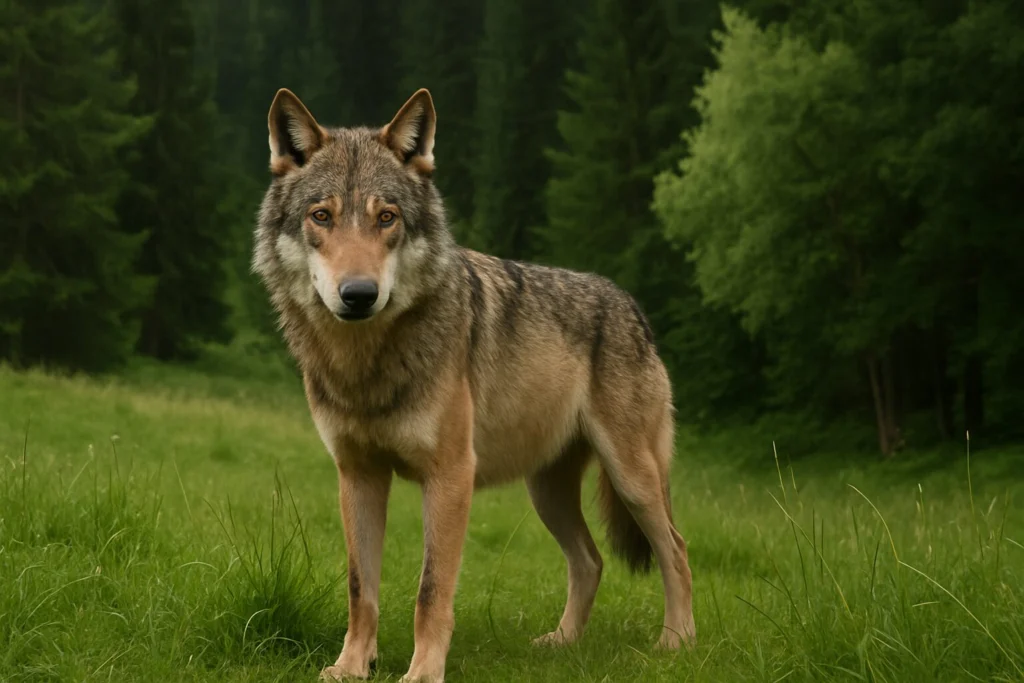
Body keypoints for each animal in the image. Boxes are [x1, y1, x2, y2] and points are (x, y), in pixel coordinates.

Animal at [252, 88, 696, 682]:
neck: (367, 364)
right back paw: (562, 642)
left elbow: (430, 591)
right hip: (546, 493)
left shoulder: (450, 476)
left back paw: (676, 642)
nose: (359, 294)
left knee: (676, 549)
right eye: (321, 216)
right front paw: (351, 666)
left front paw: (422, 672)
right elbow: (360, 588)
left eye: (387, 218)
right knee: (591, 560)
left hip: (633, 479)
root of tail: (630, 305)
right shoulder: (358, 475)